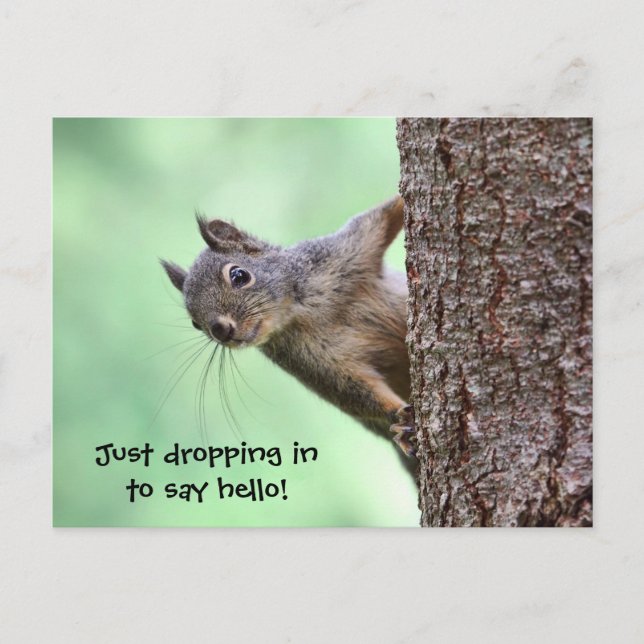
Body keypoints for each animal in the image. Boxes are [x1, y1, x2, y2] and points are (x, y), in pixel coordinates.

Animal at [161, 196, 416, 457]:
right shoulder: (307, 361)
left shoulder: (340, 250)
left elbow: (382, 218)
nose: (220, 330)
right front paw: (398, 418)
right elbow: (355, 391)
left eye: (239, 275)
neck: (303, 309)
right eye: (195, 323)